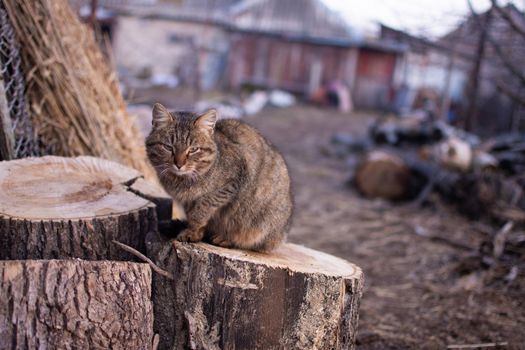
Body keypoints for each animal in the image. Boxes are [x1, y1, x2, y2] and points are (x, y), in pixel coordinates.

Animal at [145, 103, 292, 252]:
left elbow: (203, 206)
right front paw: (196, 232)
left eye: (193, 149)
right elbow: (194, 213)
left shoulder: (232, 182)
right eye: (168, 147)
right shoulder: (188, 201)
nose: (179, 164)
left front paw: (193, 229)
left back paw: (226, 239)